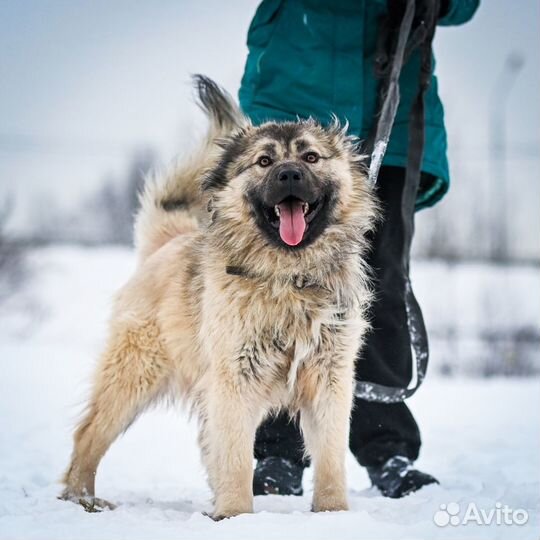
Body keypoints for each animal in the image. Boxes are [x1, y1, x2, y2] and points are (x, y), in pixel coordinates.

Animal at [59, 76, 378, 520]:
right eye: (264, 161)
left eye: (311, 157)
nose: (290, 174)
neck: (288, 277)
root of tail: (170, 240)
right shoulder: (234, 378)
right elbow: (237, 458)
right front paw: (236, 517)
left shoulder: (330, 378)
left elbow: (330, 458)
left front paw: (333, 515)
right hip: (134, 374)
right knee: (88, 435)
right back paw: (82, 498)